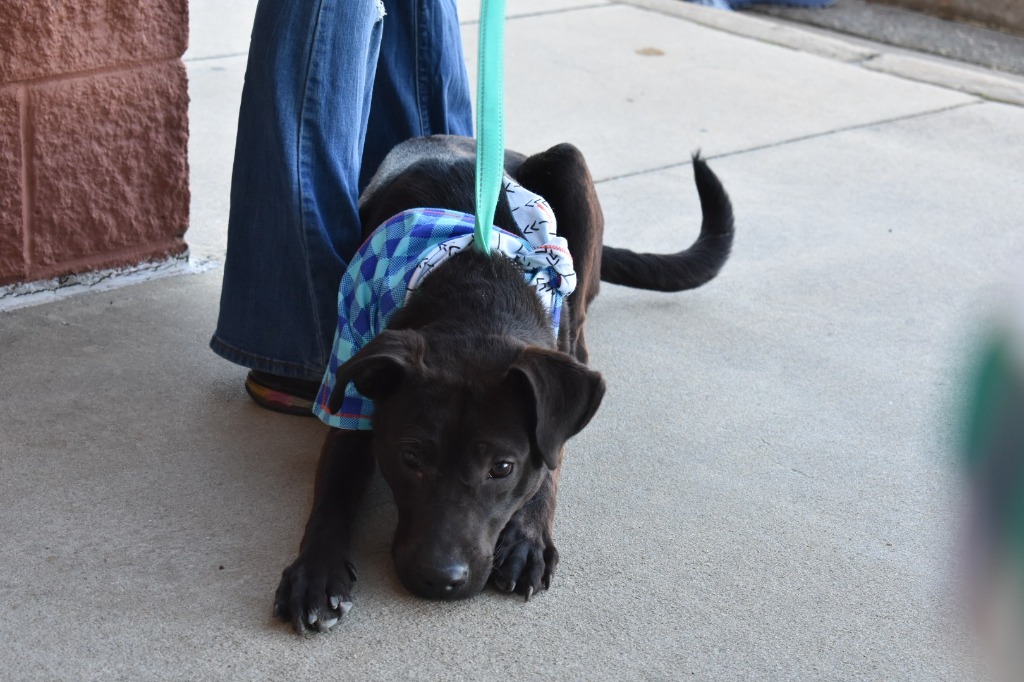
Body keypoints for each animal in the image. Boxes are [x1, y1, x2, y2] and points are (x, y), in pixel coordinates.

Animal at [276, 134, 733, 630]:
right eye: (410, 457)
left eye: (502, 468)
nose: (439, 579)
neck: (477, 288)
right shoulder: (352, 385)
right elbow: (333, 489)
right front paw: (316, 571)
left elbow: (549, 467)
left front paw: (528, 538)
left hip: (570, 168)